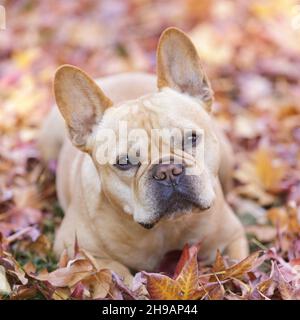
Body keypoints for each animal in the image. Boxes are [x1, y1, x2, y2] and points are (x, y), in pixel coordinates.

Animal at [39, 26, 248, 282]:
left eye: (191, 138)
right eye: (124, 162)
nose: (168, 170)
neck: (166, 229)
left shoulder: (232, 238)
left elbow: (239, 269)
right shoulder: (74, 248)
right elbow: (116, 272)